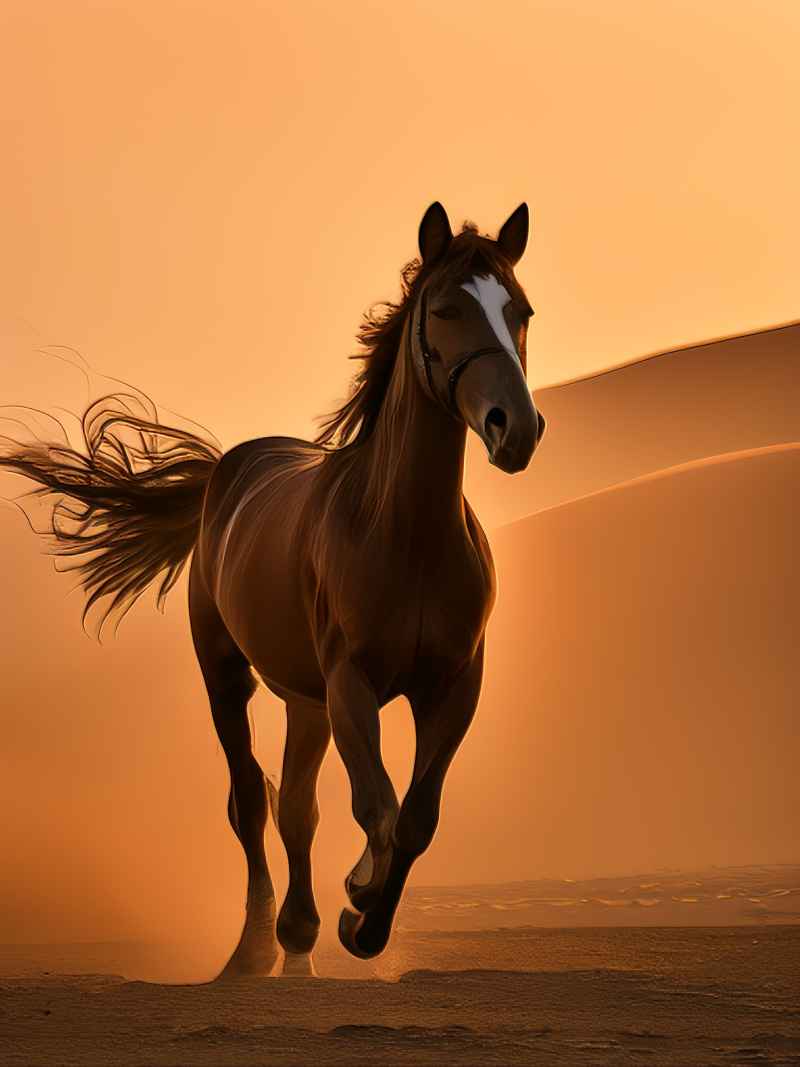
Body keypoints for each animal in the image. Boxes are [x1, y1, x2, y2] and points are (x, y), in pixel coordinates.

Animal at [0, 202, 545, 976]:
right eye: (445, 309)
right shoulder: (351, 683)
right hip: (229, 678)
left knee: (295, 808)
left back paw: (299, 940)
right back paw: (256, 948)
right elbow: (375, 807)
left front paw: (361, 922)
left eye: (519, 309)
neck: (405, 535)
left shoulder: (453, 687)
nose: (515, 428)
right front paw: (358, 898)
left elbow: (415, 818)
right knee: (253, 802)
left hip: (304, 701)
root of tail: (227, 470)